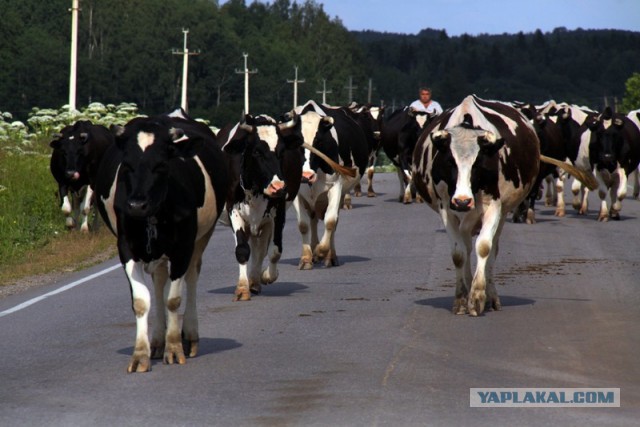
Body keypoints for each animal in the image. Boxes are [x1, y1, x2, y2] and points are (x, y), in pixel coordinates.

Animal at [93, 110, 228, 374]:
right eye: (127, 165)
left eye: (162, 165)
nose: (136, 205)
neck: (153, 215)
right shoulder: (126, 248)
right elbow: (141, 301)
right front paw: (140, 354)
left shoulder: (182, 248)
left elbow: (173, 300)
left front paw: (174, 348)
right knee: (158, 281)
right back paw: (157, 341)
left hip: (202, 237)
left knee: (192, 277)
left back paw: (189, 336)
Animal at [218, 113, 302, 300]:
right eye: (257, 151)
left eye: (282, 151)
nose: (278, 187)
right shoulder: (233, 209)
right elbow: (242, 250)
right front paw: (242, 288)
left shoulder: (278, 213)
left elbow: (275, 251)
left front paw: (266, 276)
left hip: (264, 222)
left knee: (261, 249)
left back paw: (255, 281)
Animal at [292, 99, 368, 270]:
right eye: (297, 142)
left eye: (318, 141)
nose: (306, 175)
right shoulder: (296, 191)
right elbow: (303, 224)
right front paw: (306, 258)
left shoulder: (335, 186)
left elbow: (331, 221)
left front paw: (321, 251)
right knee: (313, 220)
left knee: (333, 221)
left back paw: (329, 256)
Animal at [416, 97, 540, 318]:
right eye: (450, 162)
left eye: (478, 163)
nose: (462, 201)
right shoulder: (446, 209)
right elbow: (459, 254)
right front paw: (461, 299)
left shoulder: (494, 206)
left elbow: (484, 247)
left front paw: (477, 297)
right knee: (466, 247)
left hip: (502, 213)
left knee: (492, 250)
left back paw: (491, 297)